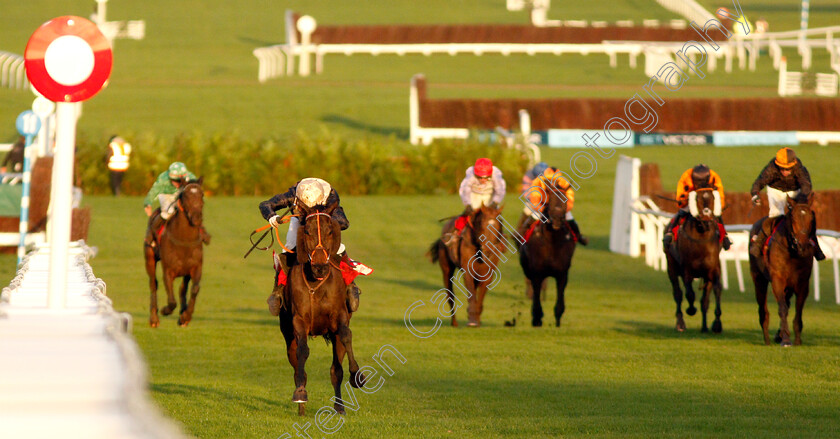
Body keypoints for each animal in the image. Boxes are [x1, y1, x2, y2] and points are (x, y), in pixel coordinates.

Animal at [144, 180, 204, 328]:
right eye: (185, 196)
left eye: (202, 195)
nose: (197, 218)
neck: (184, 241)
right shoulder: (168, 270)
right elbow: (171, 301)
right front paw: (165, 310)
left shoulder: (196, 268)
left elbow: (194, 289)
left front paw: (185, 317)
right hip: (149, 258)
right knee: (153, 284)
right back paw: (154, 319)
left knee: (183, 288)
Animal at [278, 203, 364, 416]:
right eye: (307, 231)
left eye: (330, 230)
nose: (320, 268)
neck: (315, 283)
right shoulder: (299, 320)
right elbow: (302, 351)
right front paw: (300, 394)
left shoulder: (339, 316)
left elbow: (346, 335)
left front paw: (357, 376)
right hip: (287, 334)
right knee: (296, 364)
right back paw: (301, 407)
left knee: (336, 369)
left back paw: (339, 406)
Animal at [668, 188, 724, 334]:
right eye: (697, 199)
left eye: (713, 199)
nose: (706, 219)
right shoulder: (687, 270)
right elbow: (690, 294)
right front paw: (691, 310)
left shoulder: (712, 270)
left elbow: (715, 292)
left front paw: (716, 323)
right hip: (671, 267)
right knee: (678, 294)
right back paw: (680, 323)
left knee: (704, 300)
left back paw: (704, 327)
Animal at [752, 192, 816, 348]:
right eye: (793, 218)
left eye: (811, 218)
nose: (803, 245)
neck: (792, 252)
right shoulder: (777, 279)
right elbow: (782, 309)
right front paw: (786, 340)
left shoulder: (802, 282)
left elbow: (798, 309)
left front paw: (797, 339)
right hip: (759, 279)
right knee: (763, 310)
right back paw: (767, 339)